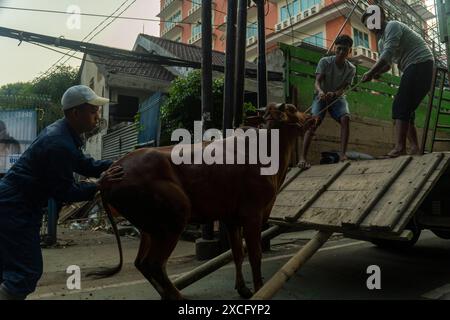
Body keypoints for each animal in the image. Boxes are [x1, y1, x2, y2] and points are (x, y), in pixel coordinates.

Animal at [92, 103, 316, 300]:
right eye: (292, 109)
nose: (311, 116)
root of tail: (108, 177)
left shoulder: (231, 219)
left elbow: (237, 253)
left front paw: (243, 289)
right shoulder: (252, 215)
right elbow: (255, 255)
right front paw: (259, 289)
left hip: (149, 228)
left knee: (141, 263)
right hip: (174, 219)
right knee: (153, 263)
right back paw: (176, 295)